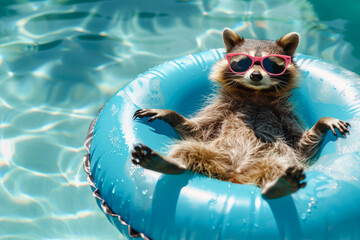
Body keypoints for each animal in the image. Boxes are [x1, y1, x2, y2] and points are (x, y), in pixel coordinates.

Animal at [131, 28, 350, 198]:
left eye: (271, 64)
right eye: (243, 62)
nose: (255, 75)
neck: (255, 95)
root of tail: (233, 174)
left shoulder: (285, 116)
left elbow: (301, 145)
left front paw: (323, 121)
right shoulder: (222, 109)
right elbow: (195, 131)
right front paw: (169, 113)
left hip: (271, 161)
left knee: (279, 166)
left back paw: (277, 185)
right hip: (213, 153)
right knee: (187, 149)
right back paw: (170, 163)